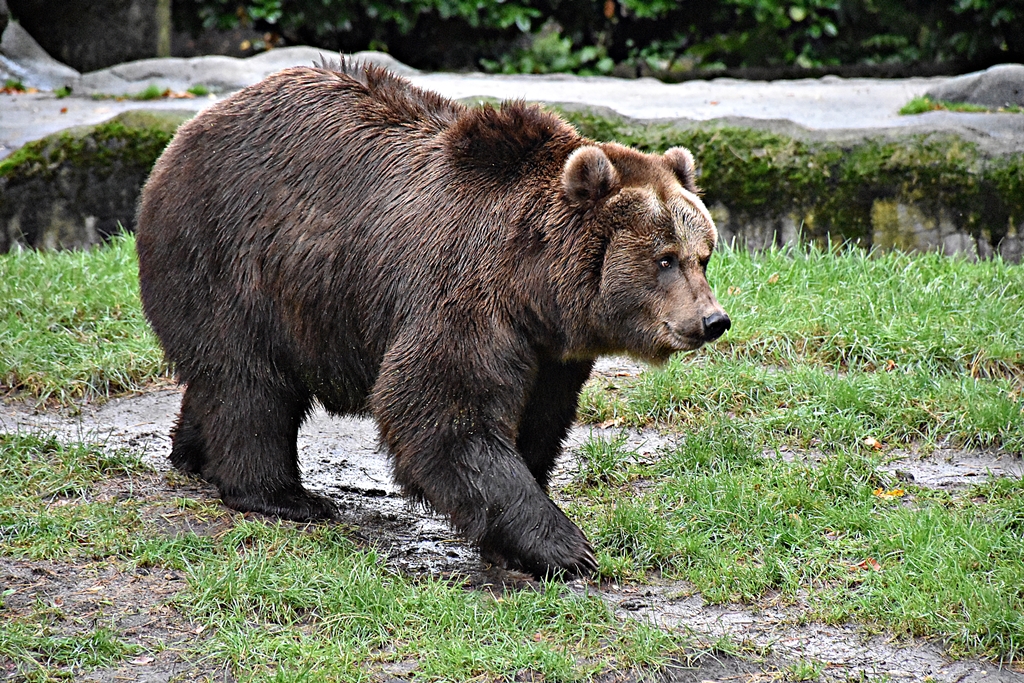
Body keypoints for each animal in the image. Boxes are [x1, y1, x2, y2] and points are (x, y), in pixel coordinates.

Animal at [135, 59, 730, 579]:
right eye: (664, 258)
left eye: (703, 255)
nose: (712, 320)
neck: (537, 288)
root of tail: (189, 131)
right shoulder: (466, 297)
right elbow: (444, 411)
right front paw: (565, 545)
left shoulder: (549, 351)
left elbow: (538, 418)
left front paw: (522, 536)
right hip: (230, 258)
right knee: (250, 381)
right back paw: (282, 495)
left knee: (220, 379)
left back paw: (193, 455)